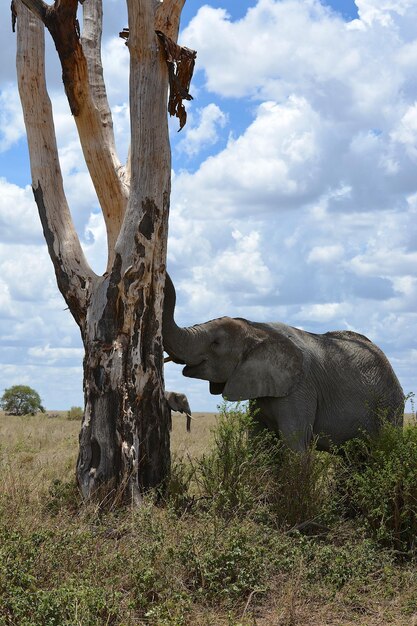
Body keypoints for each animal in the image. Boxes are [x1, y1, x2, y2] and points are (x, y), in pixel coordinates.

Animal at [161, 272, 402, 448]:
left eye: (216, 343)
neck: (257, 329)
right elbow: (259, 444)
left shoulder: (300, 389)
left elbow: (295, 445)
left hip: (389, 405)